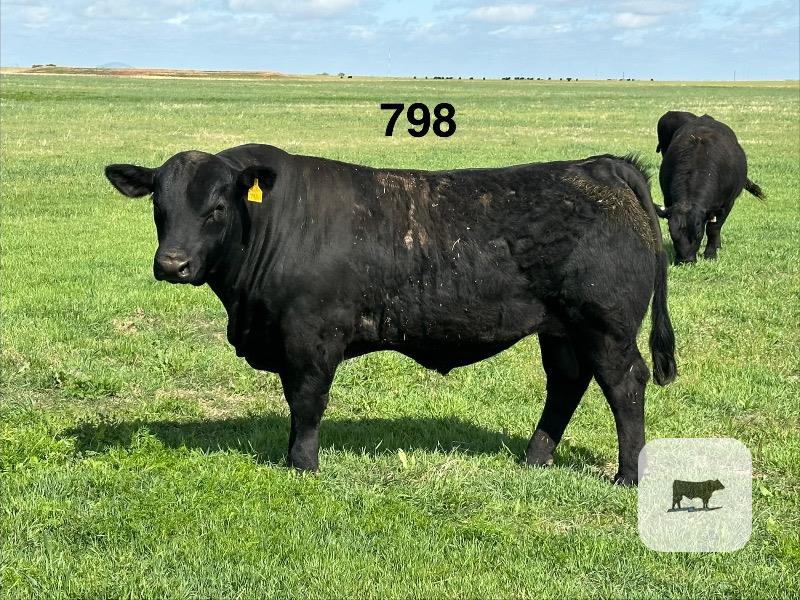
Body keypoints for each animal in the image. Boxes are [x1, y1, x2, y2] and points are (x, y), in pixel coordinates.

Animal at [104, 144, 677, 484]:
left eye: (219, 206)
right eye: (159, 205)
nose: (172, 264)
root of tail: (598, 166)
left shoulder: (311, 337)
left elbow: (306, 403)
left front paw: (302, 466)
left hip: (605, 327)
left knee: (625, 385)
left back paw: (627, 475)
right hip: (558, 329)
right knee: (566, 382)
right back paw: (536, 459)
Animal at [654, 111, 765, 264]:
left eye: (698, 233)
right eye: (672, 233)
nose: (686, 260)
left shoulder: (727, 204)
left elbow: (714, 229)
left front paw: (710, 254)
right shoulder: (668, 199)